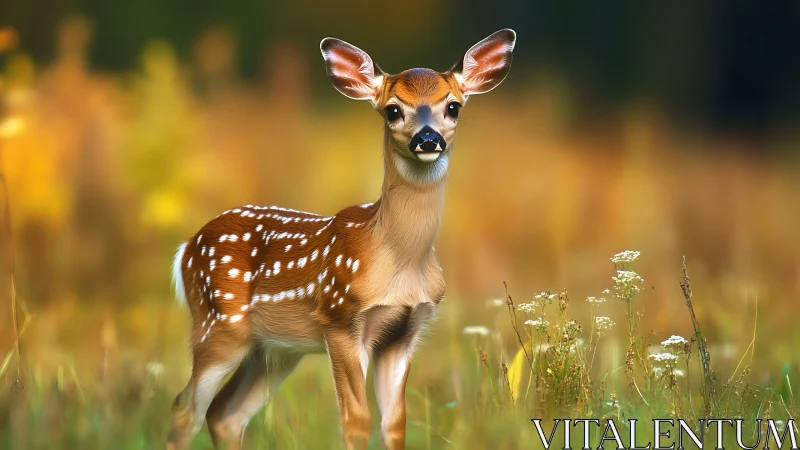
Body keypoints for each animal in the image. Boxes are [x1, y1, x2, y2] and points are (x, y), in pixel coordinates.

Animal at [166, 29, 516, 450]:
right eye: (392, 110)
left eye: (453, 107)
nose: (427, 138)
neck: (397, 260)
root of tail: (186, 247)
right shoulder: (340, 319)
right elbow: (356, 421)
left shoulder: (405, 332)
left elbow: (395, 423)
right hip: (218, 323)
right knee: (185, 408)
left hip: (275, 348)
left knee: (224, 414)